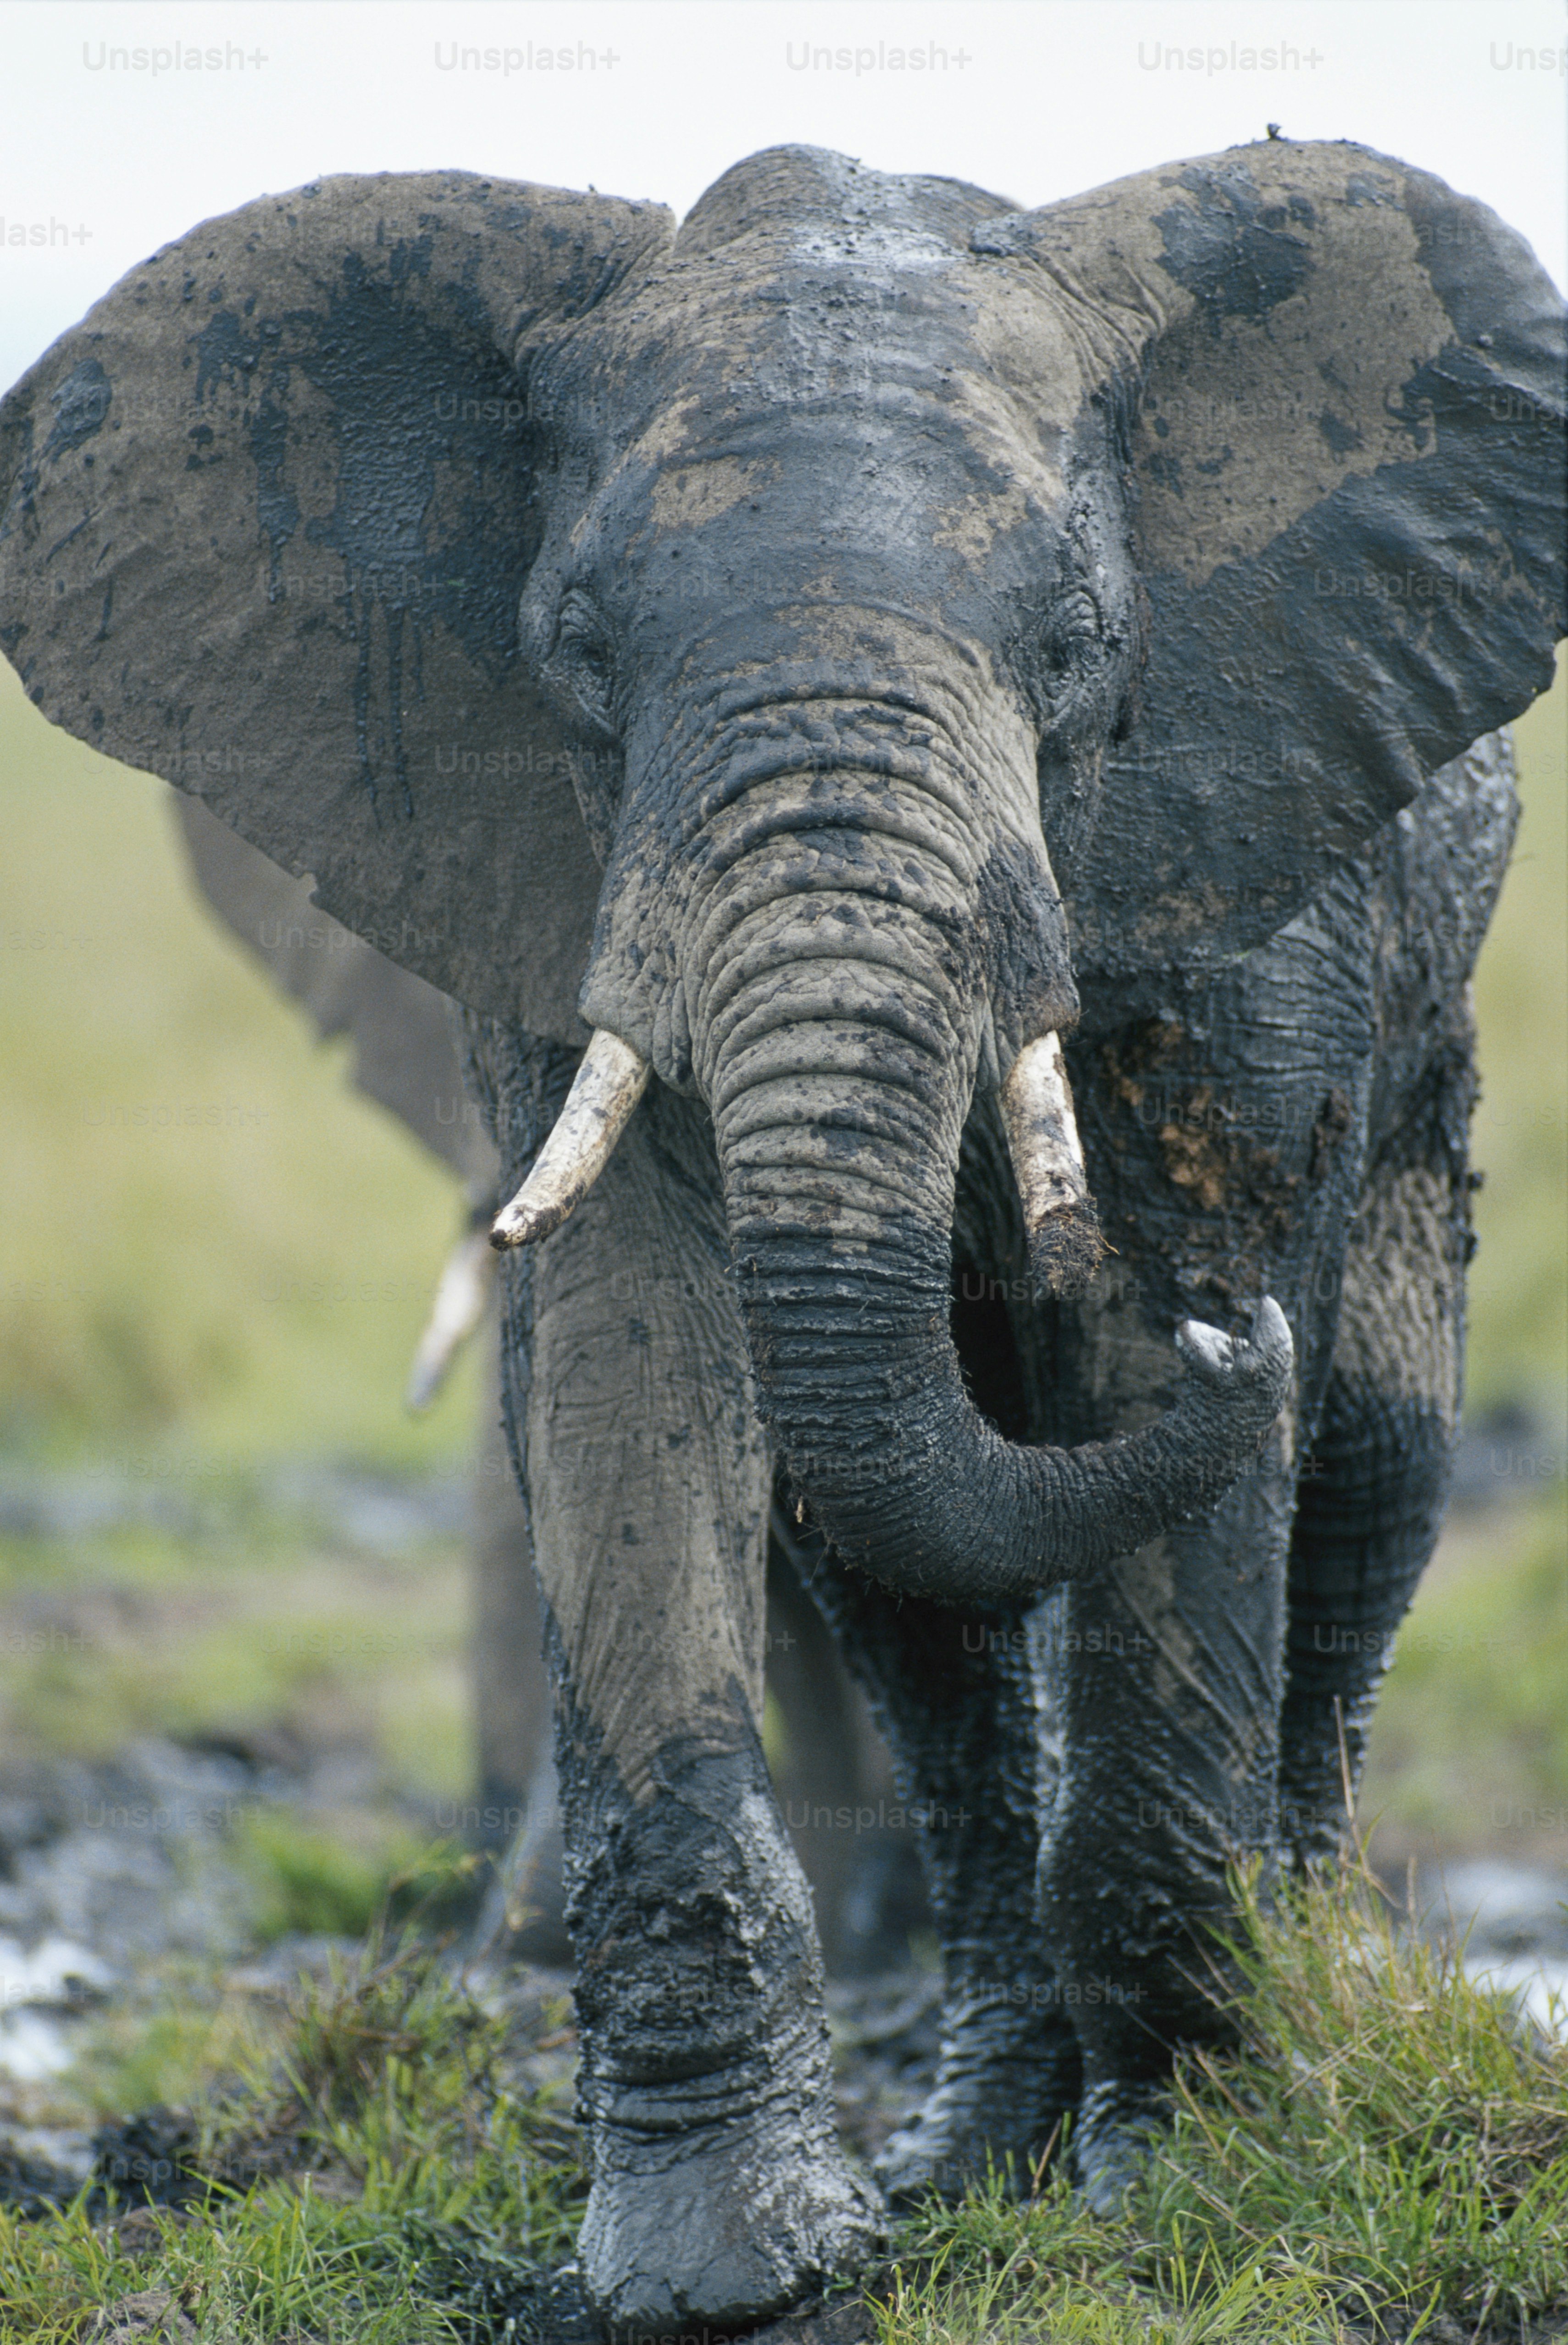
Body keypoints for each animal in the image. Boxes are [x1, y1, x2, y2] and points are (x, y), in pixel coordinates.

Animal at [1, 137, 1563, 2339]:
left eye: (1073, 644)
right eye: (575, 645)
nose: (1230, 1346)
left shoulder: (1253, 838)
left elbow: (1169, 1314)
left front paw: (1178, 2191)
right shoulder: (556, 866)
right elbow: (630, 1360)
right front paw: (719, 2269)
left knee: (1364, 1479)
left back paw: (1294, 1994)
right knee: (912, 1598)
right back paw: (974, 2146)